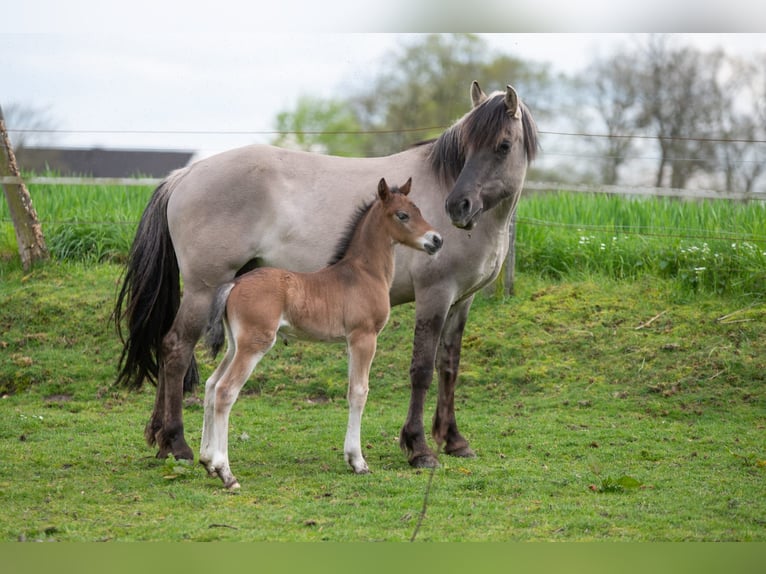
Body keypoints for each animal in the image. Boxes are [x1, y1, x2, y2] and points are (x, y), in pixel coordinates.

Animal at [117, 80, 544, 468]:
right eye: (466, 147)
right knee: (176, 348)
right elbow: (422, 369)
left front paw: (454, 440)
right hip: (203, 289)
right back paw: (178, 443)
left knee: (170, 347)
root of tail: (185, 175)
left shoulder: (461, 300)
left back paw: (161, 438)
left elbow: (449, 366)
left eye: (502, 146)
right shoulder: (434, 296)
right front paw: (419, 447)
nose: (458, 207)